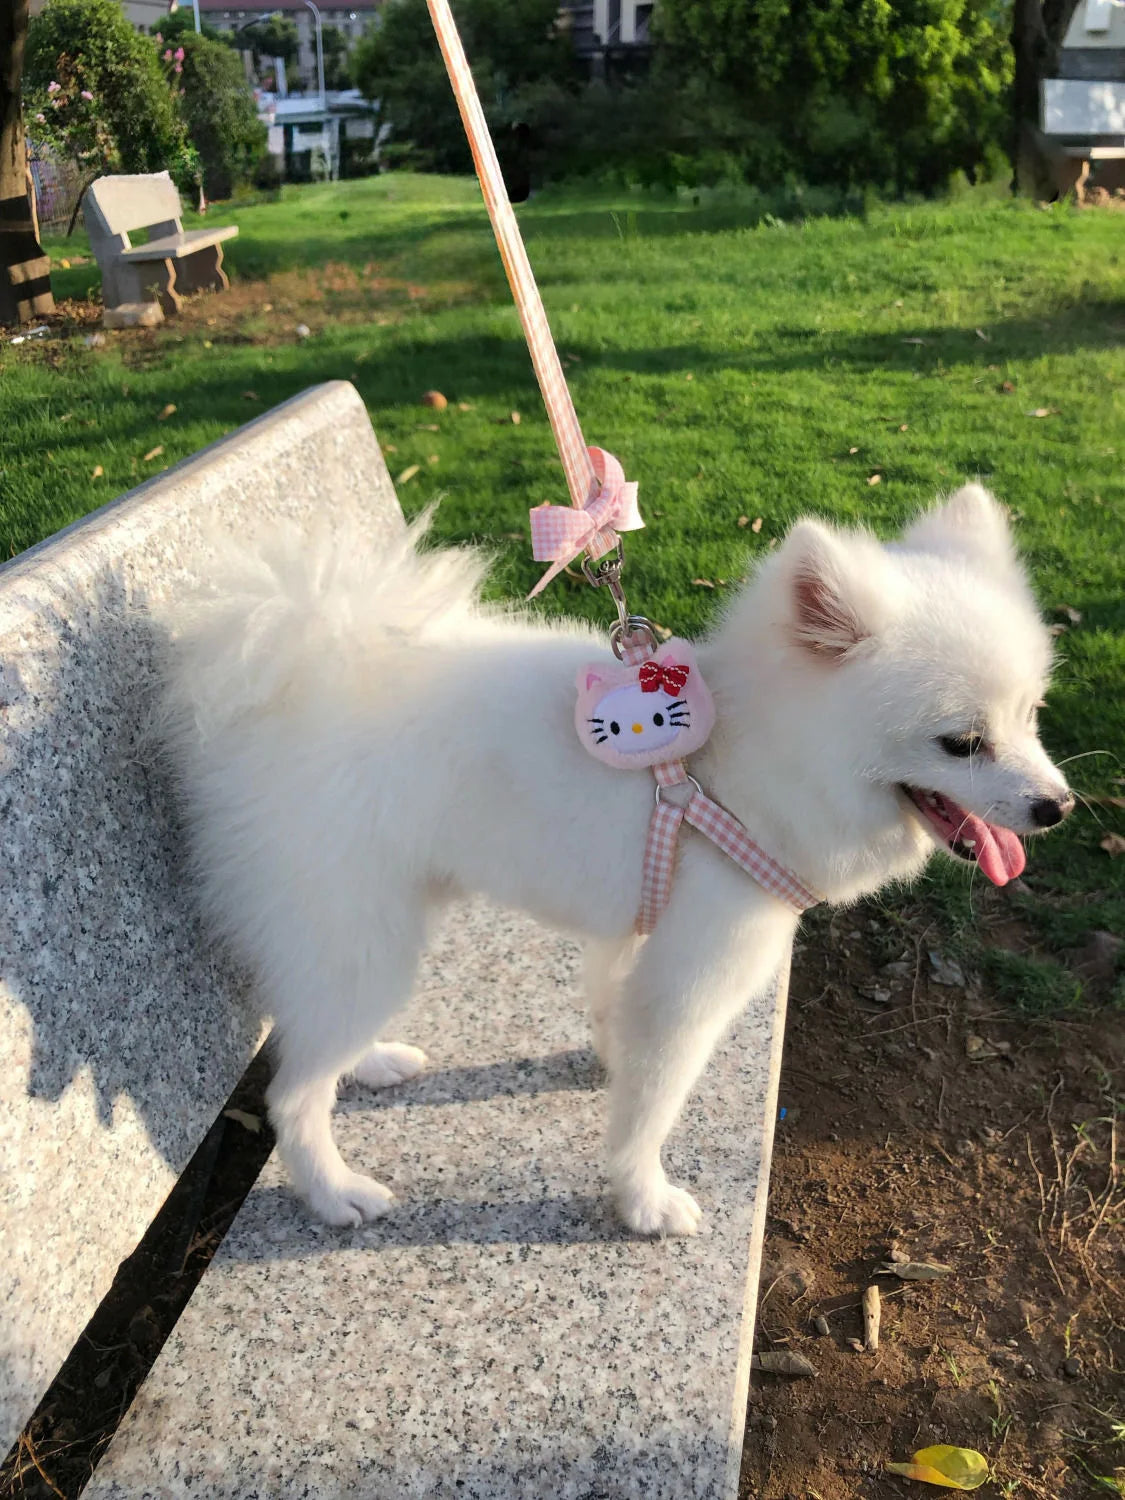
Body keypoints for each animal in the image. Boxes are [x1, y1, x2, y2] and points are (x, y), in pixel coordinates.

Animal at [159, 486, 1074, 1236]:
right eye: (960, 743)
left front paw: (607, 1058)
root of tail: (309, 667)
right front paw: (641, 1200)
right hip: (363, 936)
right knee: (291, 1091)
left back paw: (373, 1059)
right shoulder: (694, 979)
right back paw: (333, 1191)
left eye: (1032, 715)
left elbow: (612, 1011)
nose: (1056, 807)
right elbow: (652, 1106)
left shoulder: (637, 927)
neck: (732, 769)